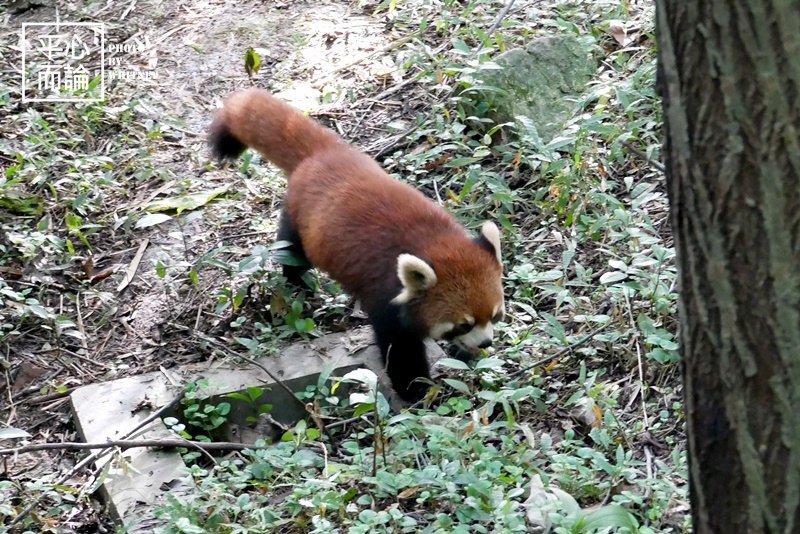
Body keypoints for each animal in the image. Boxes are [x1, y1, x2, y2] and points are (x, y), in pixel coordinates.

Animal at [209, 90, 504, 402]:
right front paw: (416, 390)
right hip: (300, 221)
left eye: (495, 315)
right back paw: (298, 283)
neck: (435, 243)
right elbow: (399, 349)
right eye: (464, 323)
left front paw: (466, 356)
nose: (486, 343)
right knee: (293, 252)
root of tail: (324, 153)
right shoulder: (385, 296)